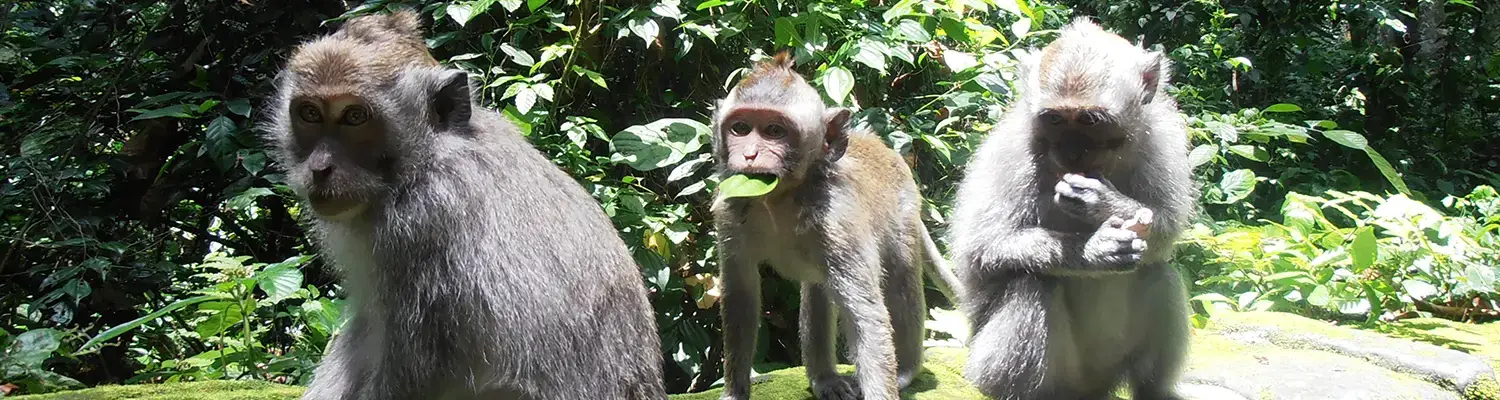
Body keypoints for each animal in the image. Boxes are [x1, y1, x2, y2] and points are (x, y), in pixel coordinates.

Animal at [263, 14, 666, 400]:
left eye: (355, 117)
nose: (320, 168)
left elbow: (414, 372)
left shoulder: (422, 223)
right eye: (310, 114)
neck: (424, 161)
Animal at [710, 51, 961, 400]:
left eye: (774, 130)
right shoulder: (729, 210)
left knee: (900, 276)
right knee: (818, 287)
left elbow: (865, 316)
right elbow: (740, 295)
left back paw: (907, 371)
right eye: (741, 128)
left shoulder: (838, 223)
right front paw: (735, 391)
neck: (781, 201)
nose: (749, 154)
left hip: (903, 215)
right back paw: (824, 379)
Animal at [947, 18, 1196, 400]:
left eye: (1090, 119)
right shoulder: (1012, 150)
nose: (1072, 151)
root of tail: (1088, 389)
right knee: (1032, 283)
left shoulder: (1161, 133)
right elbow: (981, 250)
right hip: (1007, 366)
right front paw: (1092, 250)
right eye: (1054, 119)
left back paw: (1153, 390)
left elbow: (1166, 225)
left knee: (1158, 271)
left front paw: (1102, 203)